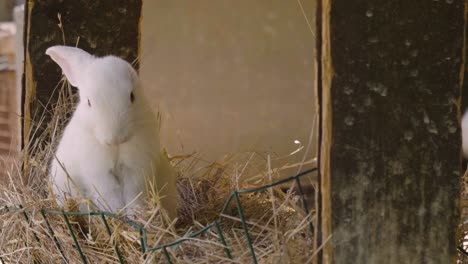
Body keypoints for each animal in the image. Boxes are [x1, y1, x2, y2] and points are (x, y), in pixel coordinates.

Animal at [46, 45, 177, 219]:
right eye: (89, 102)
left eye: (132, 96)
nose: (116, 137)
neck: (116, 148)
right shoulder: (100, 172)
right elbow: (110, 194)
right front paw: (116, 213)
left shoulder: (135, 169)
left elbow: (133, 193)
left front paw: (135, 215)